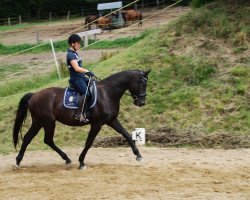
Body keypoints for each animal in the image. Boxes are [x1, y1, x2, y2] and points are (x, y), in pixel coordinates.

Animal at [12, 69, 150, 170]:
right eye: (142, 84)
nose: (142, 103)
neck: (107, 93)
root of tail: (34, 95)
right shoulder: (97, 124)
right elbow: (89, 142)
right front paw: (81, 162)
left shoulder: (111, 120)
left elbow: (126, 134)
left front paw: (138, 155)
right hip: (48, 122)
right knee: (47, 140)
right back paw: (66, 159)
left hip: (38, 122)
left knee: (28, 138)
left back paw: (19, 161)